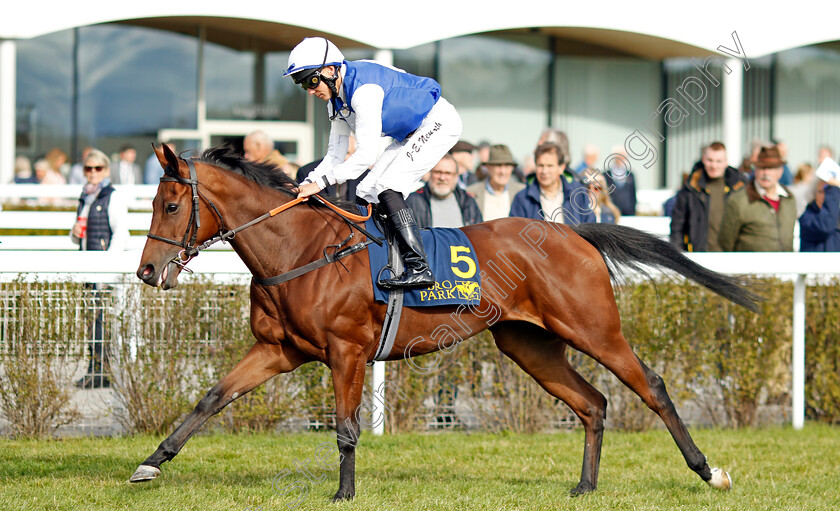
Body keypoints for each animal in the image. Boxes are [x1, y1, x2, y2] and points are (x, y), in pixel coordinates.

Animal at [133, 144, 756, 500]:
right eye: (154, 204)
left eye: (171, 206)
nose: (146, 271)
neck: (301, 250)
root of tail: (574, 231)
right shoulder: (279, 350)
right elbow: (211, 399)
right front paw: (149, 465)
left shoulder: (346, 351)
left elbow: (346, 428)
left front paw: (343, 495)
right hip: (528, 343)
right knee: (592, 403)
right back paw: (585, 485)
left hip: (595, 329)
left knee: (651, 386)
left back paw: (710, 472)